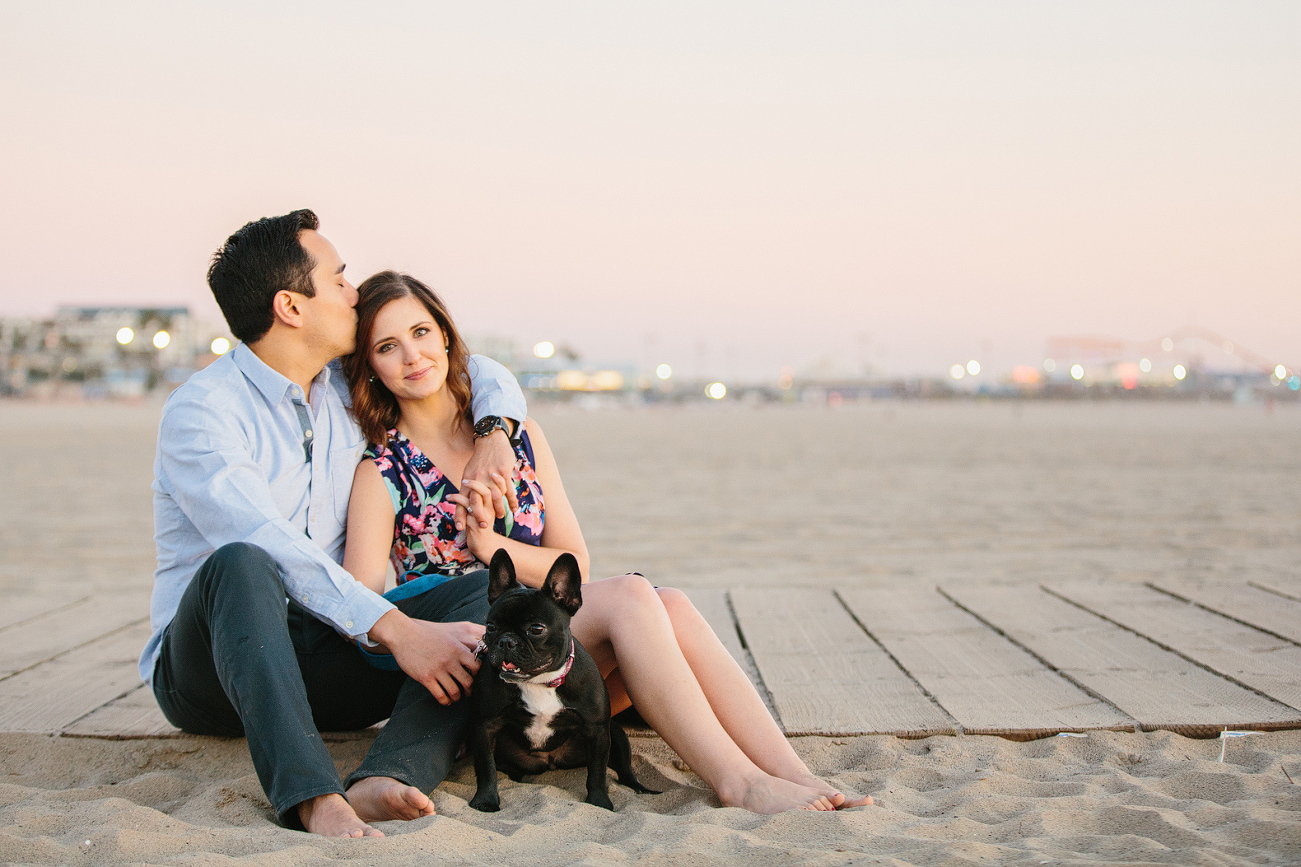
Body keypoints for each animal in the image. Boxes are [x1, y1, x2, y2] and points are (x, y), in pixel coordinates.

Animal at [465, 546, 655, 812]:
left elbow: (597, 773)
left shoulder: (597, 730)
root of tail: (551, 761)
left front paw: (599, 802)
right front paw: (485, 801)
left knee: (625, 769)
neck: (539, 682)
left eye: (536, 629)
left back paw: (641, 788)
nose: (506, 641)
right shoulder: (485, 726)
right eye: (490, 626)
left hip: (616, 734)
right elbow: (486, 768)